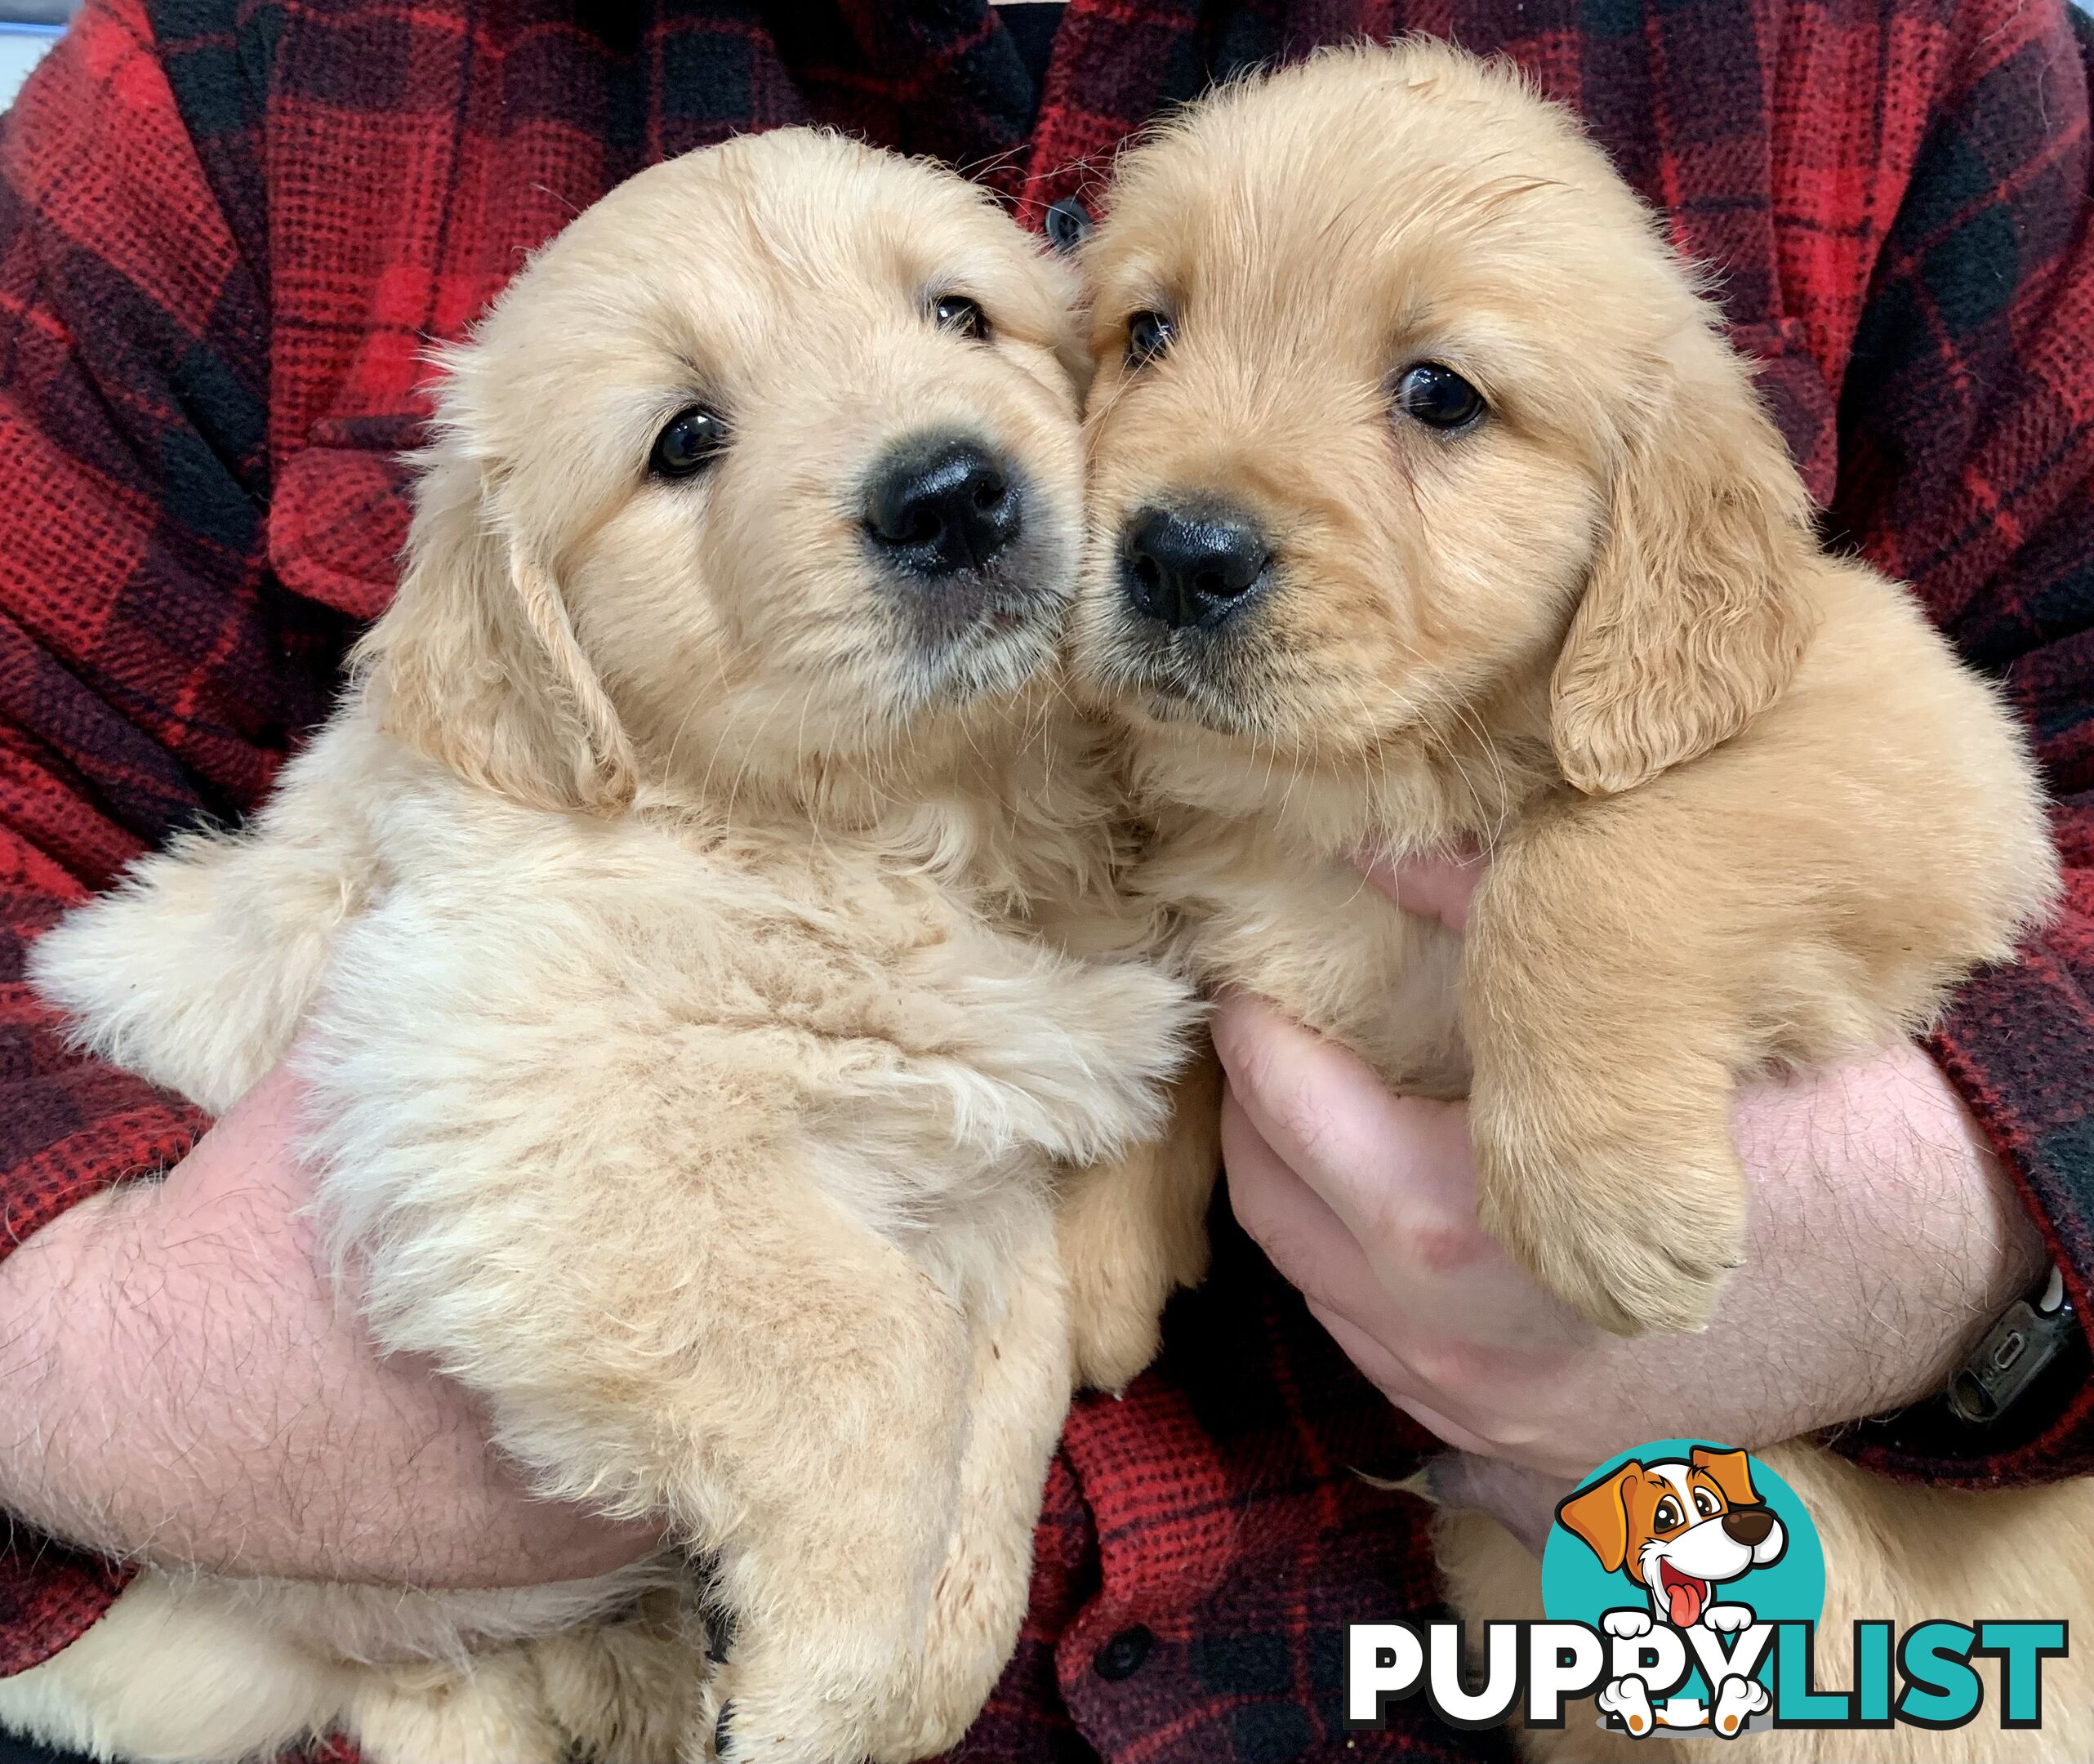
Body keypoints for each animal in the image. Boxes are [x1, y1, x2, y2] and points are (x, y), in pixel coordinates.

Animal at [8, 127, 1205, 1759]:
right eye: (683, 439)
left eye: (957, 314)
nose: (953, 495)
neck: (880, 836)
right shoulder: (518, 1105)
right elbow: (878, 1351)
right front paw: (822, 1688)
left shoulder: (984, 1166)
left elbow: (1006, 1376)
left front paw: (932, 1661)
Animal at [1072, 38, 2094, 1759]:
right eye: (1144, 334)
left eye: (1439, 395)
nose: (1171, 553)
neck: (1356, 787)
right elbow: (1155, 993)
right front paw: (1085, 1255)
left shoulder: (1920, 745)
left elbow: (1589, 858)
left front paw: (1606, 1192)